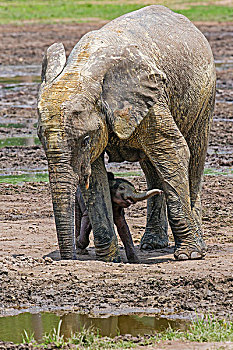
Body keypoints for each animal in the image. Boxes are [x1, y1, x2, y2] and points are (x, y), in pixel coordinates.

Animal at [37, 5, 216, 262]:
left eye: (85, 140)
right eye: (40, 138)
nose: (67, 258)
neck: (83, 70)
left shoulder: (153, 102)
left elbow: (174, 151)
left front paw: (188, 255)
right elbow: (96, 177)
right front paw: (109, 259)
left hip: (204, 97)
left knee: (194, 155)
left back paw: (194, 247)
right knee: (152, 167)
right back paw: (151, 244)